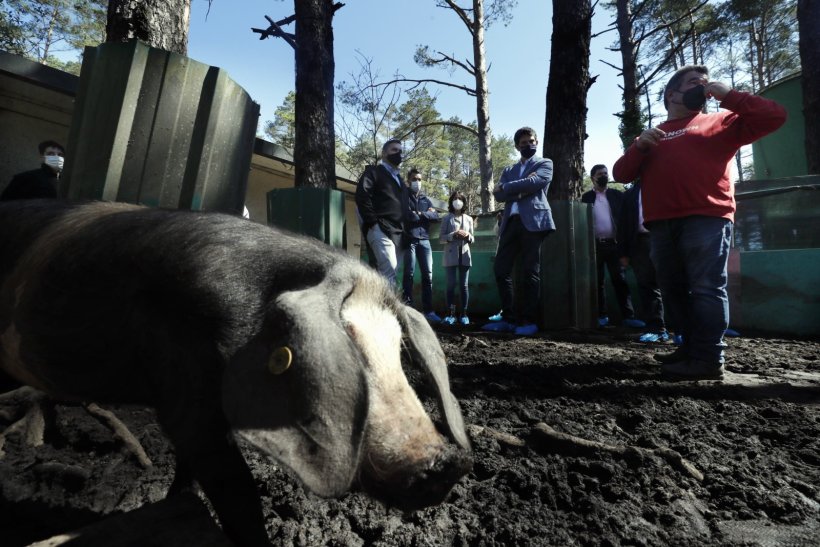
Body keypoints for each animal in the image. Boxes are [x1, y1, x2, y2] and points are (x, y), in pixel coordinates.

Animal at [0, 200, 472, 546]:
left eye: (398, 349)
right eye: (349, 344)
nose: (449, 461)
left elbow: (188, 472)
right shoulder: (184, 397)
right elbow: (239, 493)